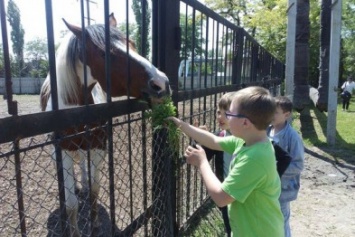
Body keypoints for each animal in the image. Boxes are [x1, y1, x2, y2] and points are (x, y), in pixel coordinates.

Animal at [40, 13, 171, 236]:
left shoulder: (99, 146)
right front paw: (75, 231)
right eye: (104, 53)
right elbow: (72, 203)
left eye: (132, 44)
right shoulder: (64, 151)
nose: (162, 84)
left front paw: (95, 223)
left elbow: (94, 189)